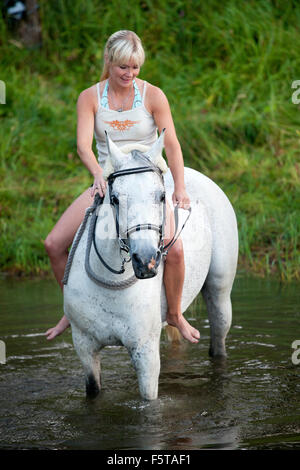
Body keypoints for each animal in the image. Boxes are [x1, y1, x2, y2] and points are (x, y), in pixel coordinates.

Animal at [63, 132, 239, 400]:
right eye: (114, 199)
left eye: (162, 196)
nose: (146, 261)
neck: (110, 286)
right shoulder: (84, 347)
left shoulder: (145, 354)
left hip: (219, 294)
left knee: (218, 336)